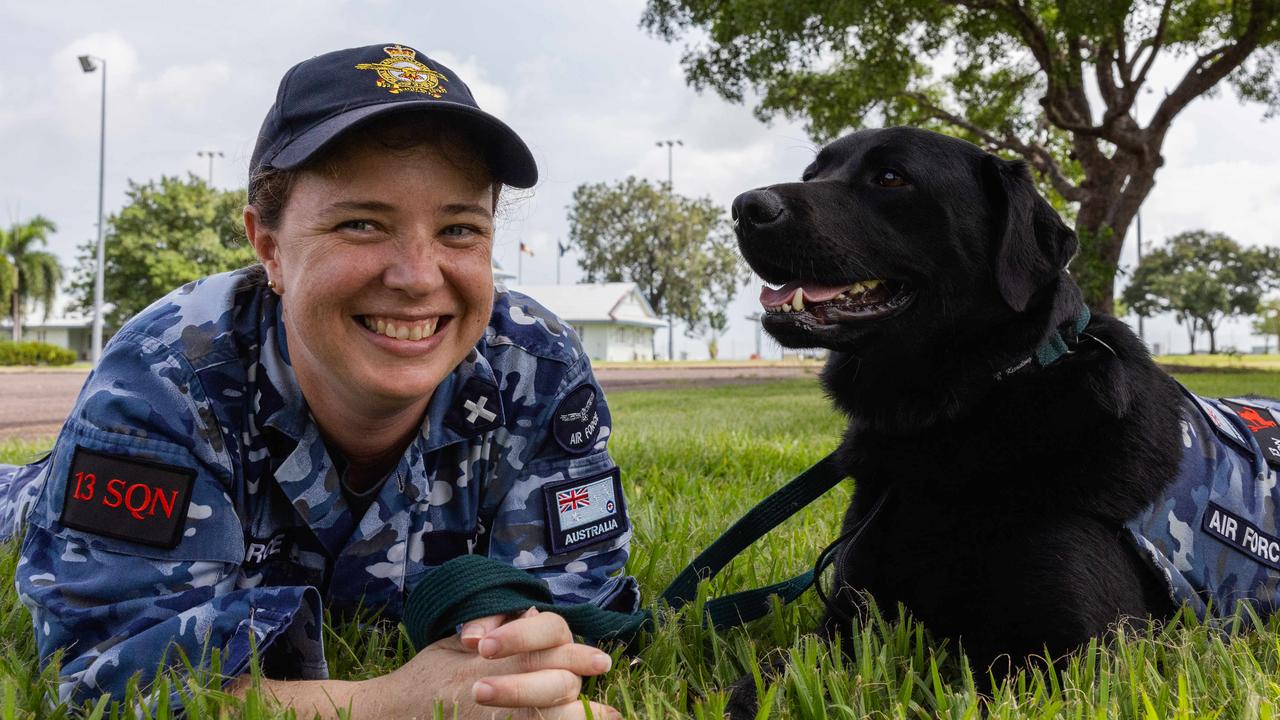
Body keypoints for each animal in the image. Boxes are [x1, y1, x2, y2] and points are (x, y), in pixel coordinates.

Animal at [727, 127, 1274, 712]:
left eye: (891, 177)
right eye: (813, 175)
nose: (744, 208)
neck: (959, 413)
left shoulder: (1073, 658)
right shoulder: (847, 621)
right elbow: (767, 674)